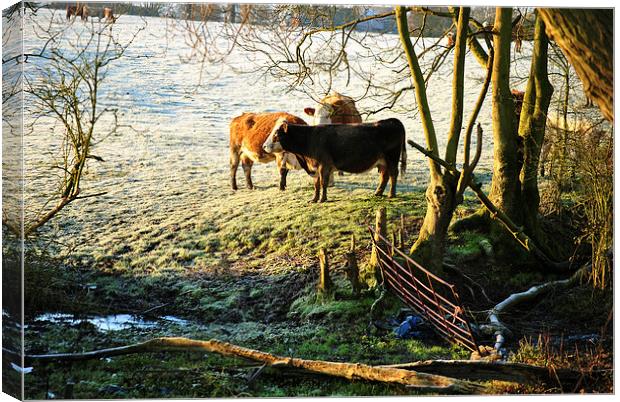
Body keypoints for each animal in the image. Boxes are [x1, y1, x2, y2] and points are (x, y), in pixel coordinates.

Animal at [262, 118, 404, 203]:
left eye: (276, 134)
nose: (263, 146)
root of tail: (392, 120)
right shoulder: (315, 167)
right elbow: (316, 184)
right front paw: (314, 199)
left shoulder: (324, 165)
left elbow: (323, 183)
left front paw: (323, 199)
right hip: (383, 161)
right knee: (385, 176)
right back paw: (378, 193)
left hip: (392, 158)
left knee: (393, 174)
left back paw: (391, 194)